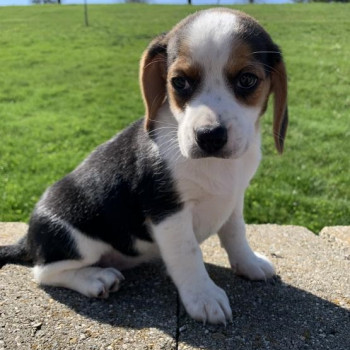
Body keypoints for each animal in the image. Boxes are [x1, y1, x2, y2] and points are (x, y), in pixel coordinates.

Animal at [0, 8, 288, 326]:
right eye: (179, 82)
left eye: (248, 80)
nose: (210, 136)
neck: (215, 165)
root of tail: (27, 238)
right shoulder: (168, 210)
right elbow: (188, 254)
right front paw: (204, 297)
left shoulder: (234, 199)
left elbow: (236, 233)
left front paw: (248, 264)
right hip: (75, 237)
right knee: (43, 272)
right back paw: (95, 279)